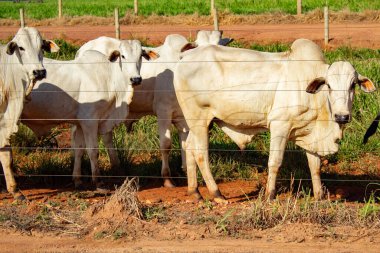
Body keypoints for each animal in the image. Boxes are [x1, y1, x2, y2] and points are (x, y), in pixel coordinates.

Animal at [0, 26, 59, 199]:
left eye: (42, 47)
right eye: (21, 47)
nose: (39, 72)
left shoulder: (6, 122)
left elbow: (7, 155)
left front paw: (14, 189)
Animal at [20, 39, 154, 190]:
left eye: (140, 56)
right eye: (123, 56)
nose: (135, 79)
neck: (108, 78)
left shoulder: (80, 123)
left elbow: (79, 150)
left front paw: (77, 180)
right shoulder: (90, 121)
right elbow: (93, 150)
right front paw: (98, 181)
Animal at [71, 30, 232, 188]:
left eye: (220, 47)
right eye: (199, 49)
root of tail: (82, 50)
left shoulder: (183, 116)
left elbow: (185, 144)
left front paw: (186, 172)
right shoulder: (163, 111)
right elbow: (166, 145)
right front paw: (167, 179)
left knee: (104, 137)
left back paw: (116, 168)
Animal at [174, 38, 376, 203]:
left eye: (353, 85)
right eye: (329, 85)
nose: (342, 116)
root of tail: (184, 57)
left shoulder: (311, 132)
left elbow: (315, 166)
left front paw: (319, 196)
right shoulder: (280, 126)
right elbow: (275, 162)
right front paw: (269, 195)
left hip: (199, 122)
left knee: (189, 147)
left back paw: (195, 192)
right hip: (199, 119)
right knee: (200, 153)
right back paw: (217, 194)